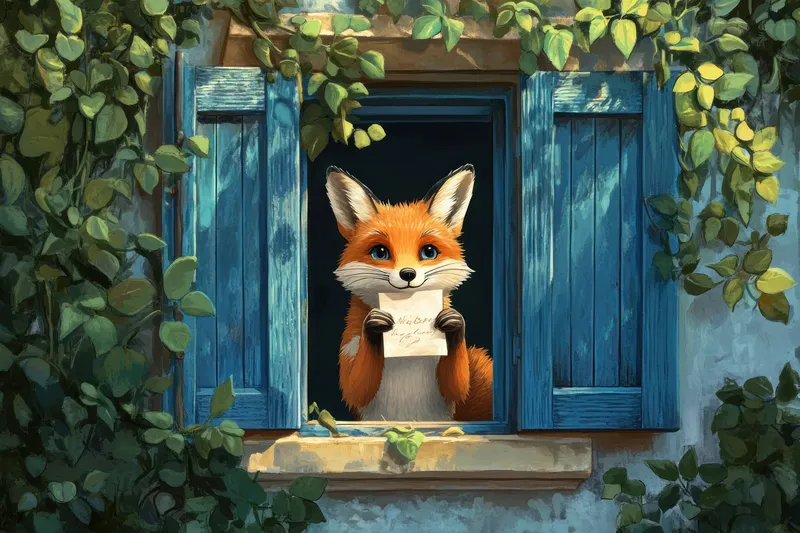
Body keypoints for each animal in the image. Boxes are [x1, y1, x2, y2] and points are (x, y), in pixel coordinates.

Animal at [325, 164, 493, 422]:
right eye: (380, 252)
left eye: (429, 252)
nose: (407, 274)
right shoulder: (349, 353)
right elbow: (356, 388)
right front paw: (374, 326)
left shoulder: (453, 387)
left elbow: (458, 386)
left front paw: (454, 324)